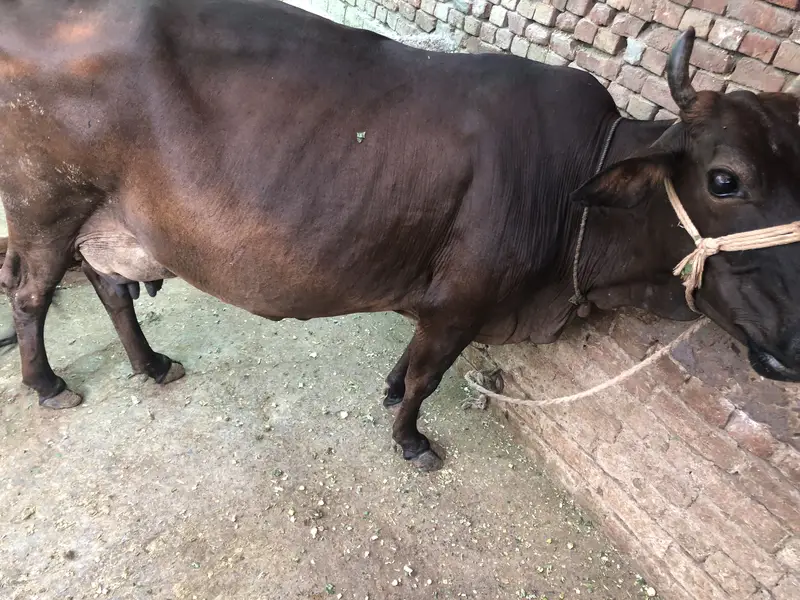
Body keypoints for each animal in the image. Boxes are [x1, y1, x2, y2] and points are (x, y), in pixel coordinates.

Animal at [2, 0, 800, 472]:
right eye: (723, 179)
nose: (793, 340)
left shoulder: (440, 297)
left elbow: (410, 359)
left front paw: (389, 393)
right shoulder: (464, 300)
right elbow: (429, 373)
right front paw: (412, 439)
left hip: (107, 219)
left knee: (109, 285)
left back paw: (151, 363)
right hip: (45, 204)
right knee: (31, 293)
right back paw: (47, 383)